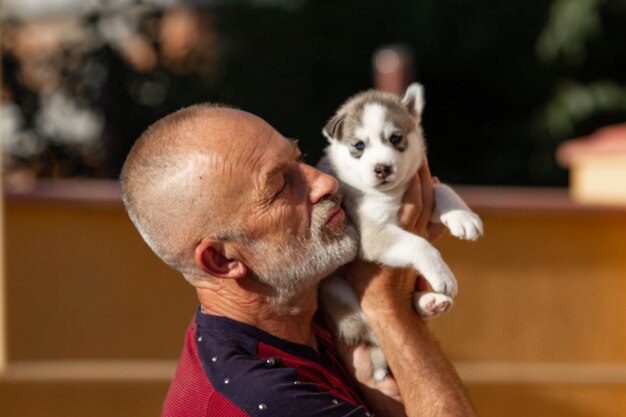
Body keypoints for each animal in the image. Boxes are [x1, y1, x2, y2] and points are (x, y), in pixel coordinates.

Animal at [316, 82, 482, 380]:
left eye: (395, 139)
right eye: (359, 145)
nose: (382, 168)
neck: (391, 193)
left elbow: (442, 188)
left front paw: (464, 217)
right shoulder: (373, 233)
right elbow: (419, 244)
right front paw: (443, 275)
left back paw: (429, 302)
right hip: (337, 292)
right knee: (371, 329)